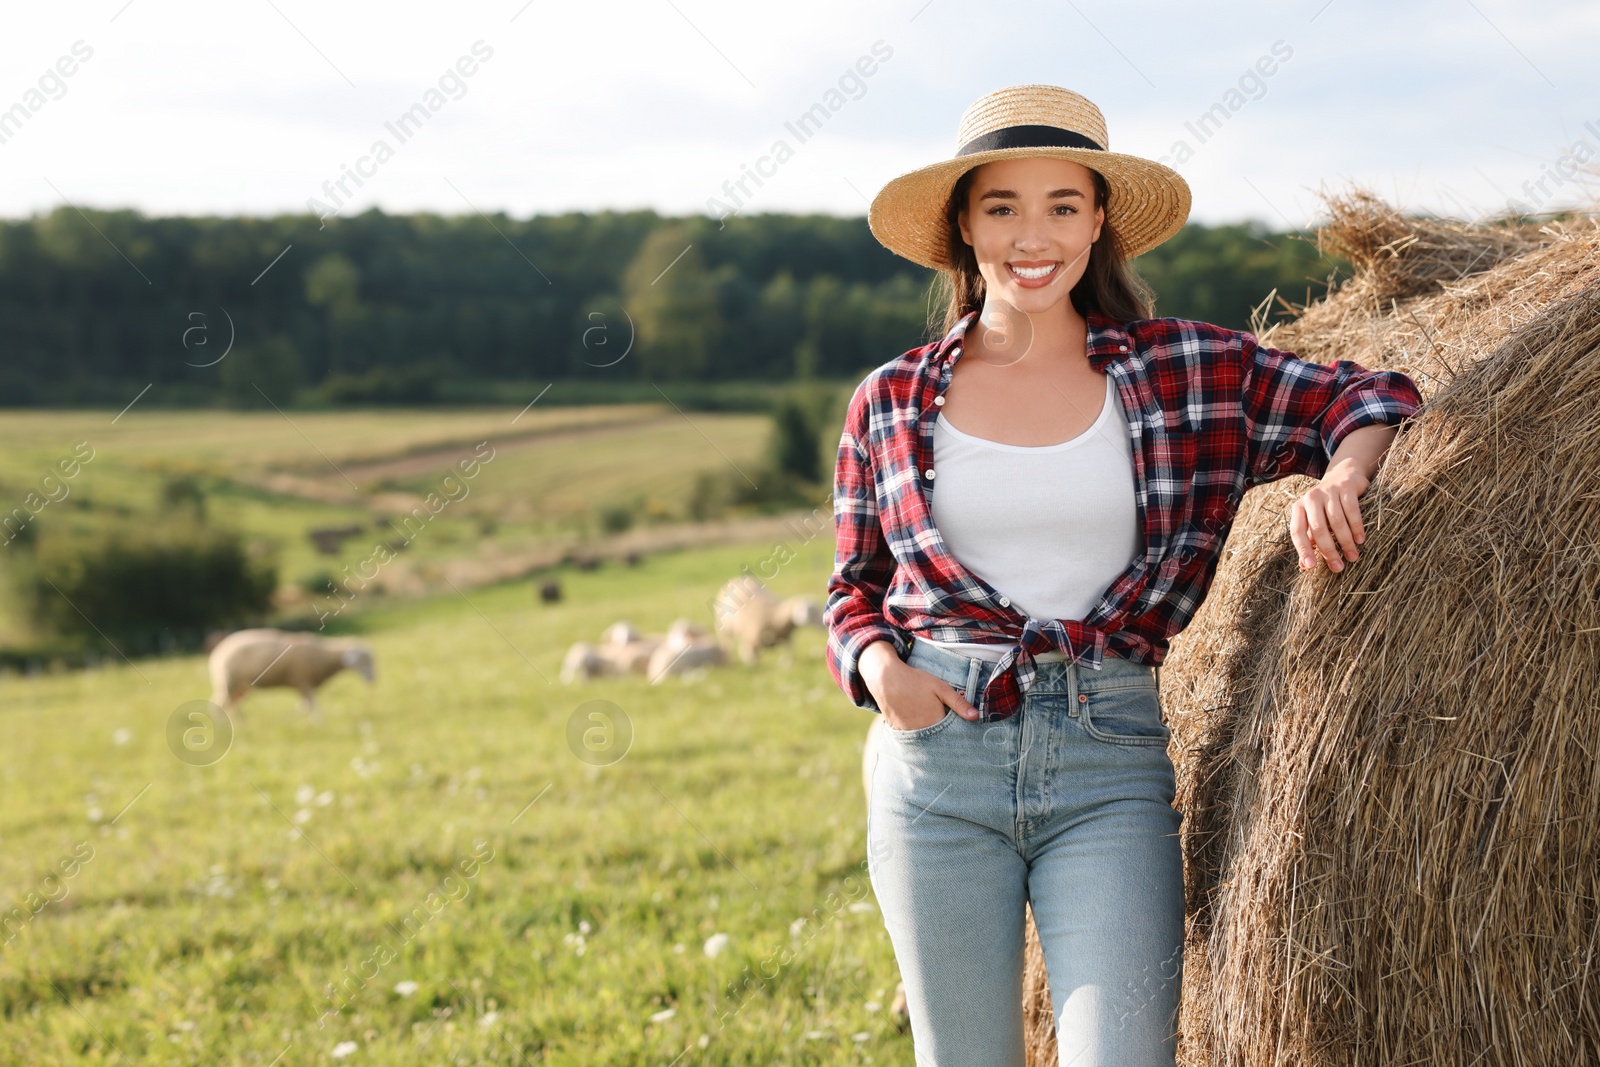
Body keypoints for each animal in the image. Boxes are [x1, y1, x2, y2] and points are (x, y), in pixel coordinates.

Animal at [206, 627, 374, 726]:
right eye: (364, 659)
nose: (373, 680)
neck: (323, 655)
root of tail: (219, 649)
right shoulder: (304, 681)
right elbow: (312, 704)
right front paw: (317, 722)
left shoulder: (302, 684)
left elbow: (304, 706)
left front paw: (298, 719)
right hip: (228, 682)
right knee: (218, 704)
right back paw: (223, 725)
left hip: (241, 685)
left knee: (233, 703)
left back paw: (241, 722)